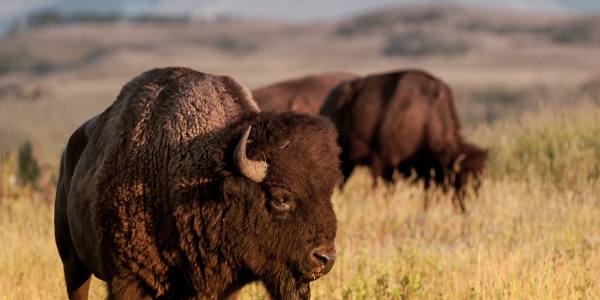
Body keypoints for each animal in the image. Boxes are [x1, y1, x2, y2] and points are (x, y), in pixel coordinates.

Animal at [318, 69, 488, 211]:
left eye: (480, 181)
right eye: (461, 179)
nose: (466, 207)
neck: (425, 117)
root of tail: (329, 101)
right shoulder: (383, 164)